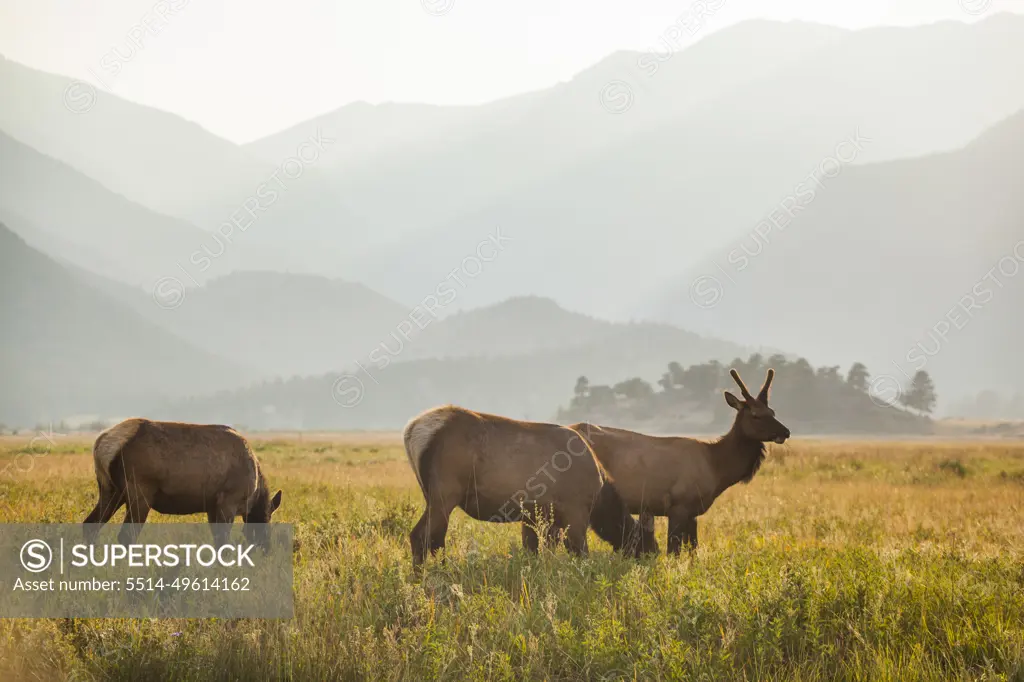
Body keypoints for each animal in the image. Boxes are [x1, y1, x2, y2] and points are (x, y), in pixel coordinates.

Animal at [82, 417, 282, 544]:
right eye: (267, 518)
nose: (265, 548)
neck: (254, 494)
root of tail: (101, 444)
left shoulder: (212, 506)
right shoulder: (229, 500)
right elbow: (223, 542)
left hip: (110, 489)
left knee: (90, 525)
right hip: (140, 491)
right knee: (126, 536)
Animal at [403, 403, 643, 561]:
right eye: (640, 538)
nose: (646, 556)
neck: (601, 494)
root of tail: (412, 430)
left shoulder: (534, 516)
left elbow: (535, 551)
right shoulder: (576, 510)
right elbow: (579, 551)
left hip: (432, 495)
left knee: (436, 539)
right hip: (445, 493)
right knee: (420, 536)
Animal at [573, 368, 786, 557]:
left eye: (773, 411)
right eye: (755, 415)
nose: (785, 432)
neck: (716, 467)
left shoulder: (693, 512)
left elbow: (693, 551)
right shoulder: (678, 505)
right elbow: (673, 552)